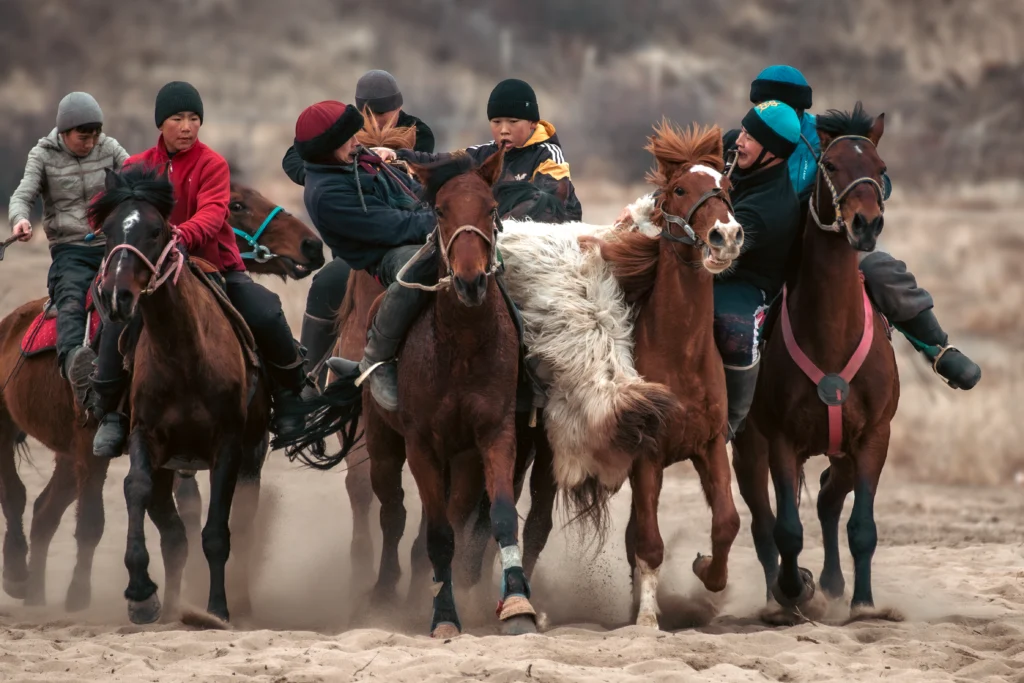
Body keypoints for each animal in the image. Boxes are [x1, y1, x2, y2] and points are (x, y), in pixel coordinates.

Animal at [0, 180, 321, 612]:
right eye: (237, 205)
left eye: (156, 231)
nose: (311, 245)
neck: (184, 353)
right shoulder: (117, 442)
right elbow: (105, 517)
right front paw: (92, 595)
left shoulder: (237, 450)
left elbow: (215, 524)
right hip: (23, 435)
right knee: (18, 496)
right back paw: (21, 576)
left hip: (69, 457)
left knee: (43, 510)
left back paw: (34, 591)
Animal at [278, 149, 540, 638]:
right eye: (439, 211)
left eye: (491, 209)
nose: (471, 282)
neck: (461, 346)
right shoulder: (420, 444)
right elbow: (433, 533)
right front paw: (444, 615)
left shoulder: (491, 438)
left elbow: (496, 515)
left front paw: (517, 605)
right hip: (381, 445)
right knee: (392, 513)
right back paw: (384, 594)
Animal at [526, 120, 746, 628]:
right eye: (680, 189)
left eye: (726, 188)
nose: (726, 235)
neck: (682, 354)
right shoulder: (647, 456)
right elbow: (647, 540)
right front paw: (646, 618)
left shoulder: (710, 445)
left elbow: (726, 521)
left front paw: (708, 571)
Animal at [731, 104, 900, 623]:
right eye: (831, 165)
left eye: (881, 169)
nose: (865, 224)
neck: (831, 335)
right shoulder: (781, 441)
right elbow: (786, 528)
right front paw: (794, 589)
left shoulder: (873, 437)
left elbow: (862, 527)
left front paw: (863, 604)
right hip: (749, 447)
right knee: (764, 523)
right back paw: (779, 596)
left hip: (843, 449)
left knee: (828, 497)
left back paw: (833, 583)